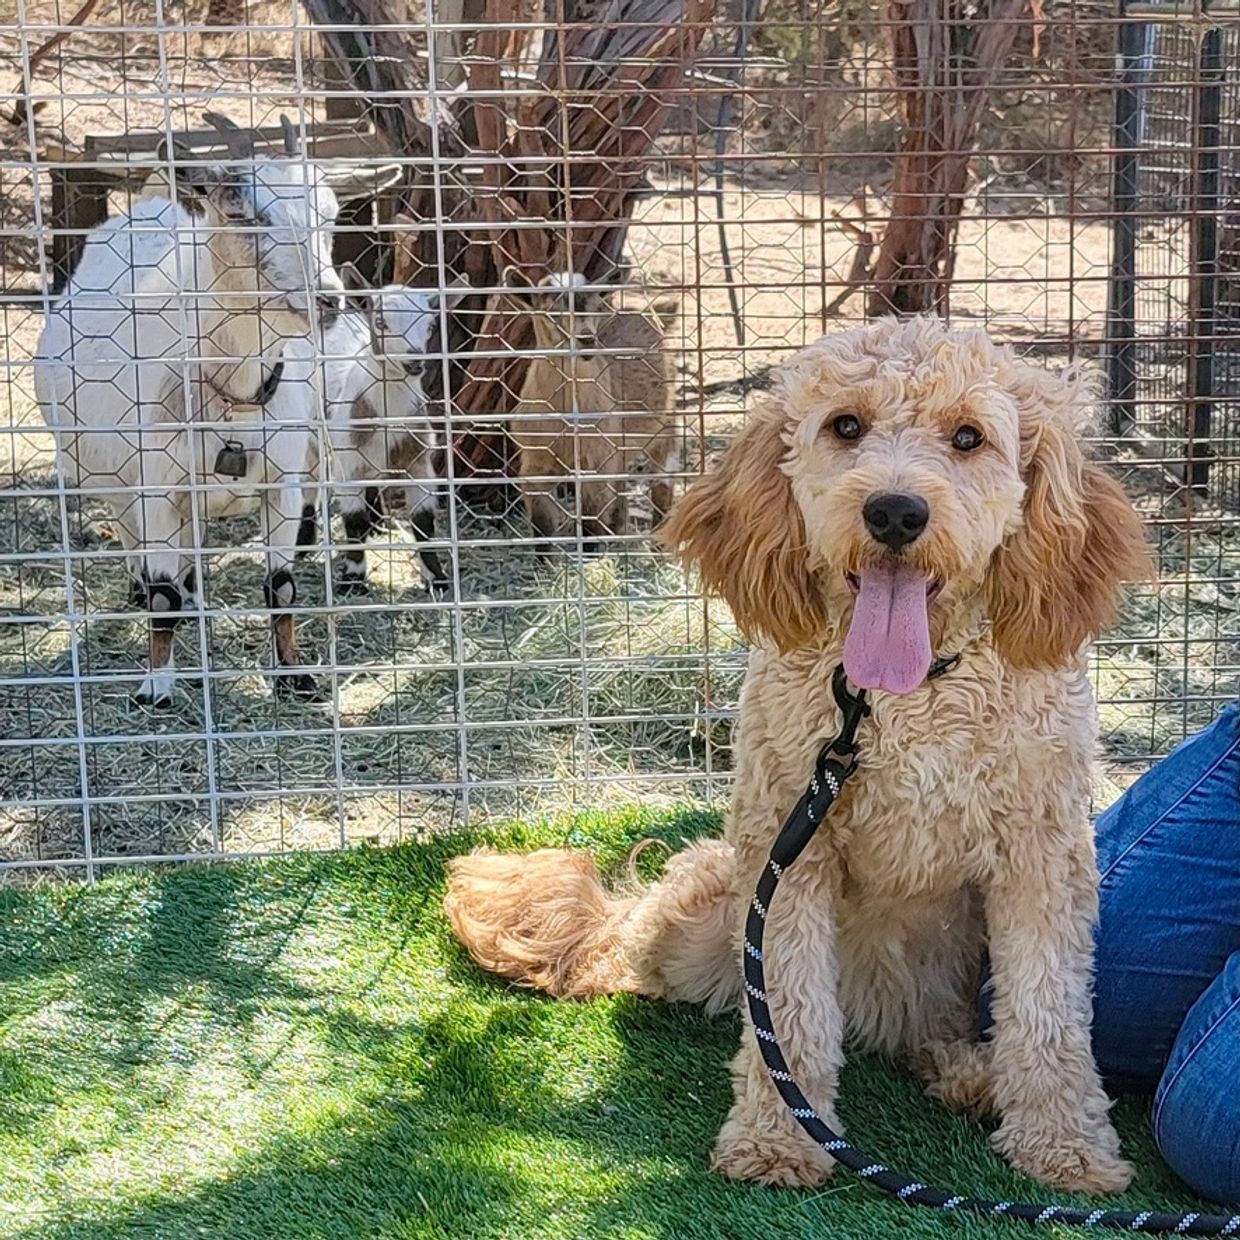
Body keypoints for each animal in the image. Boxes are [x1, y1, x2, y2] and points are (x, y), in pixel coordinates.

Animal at [35, 114, 344, 709]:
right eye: (243, 213)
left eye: (330, 214)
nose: (329, 299)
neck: (233, 399)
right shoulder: (155, 484)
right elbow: (161, 598)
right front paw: (156, 685)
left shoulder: (283, 484)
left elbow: (281, 587)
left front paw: (294, 676)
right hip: (109, 476)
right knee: (133, 539)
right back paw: (146, 592)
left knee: (190, 553)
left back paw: (198, 599)